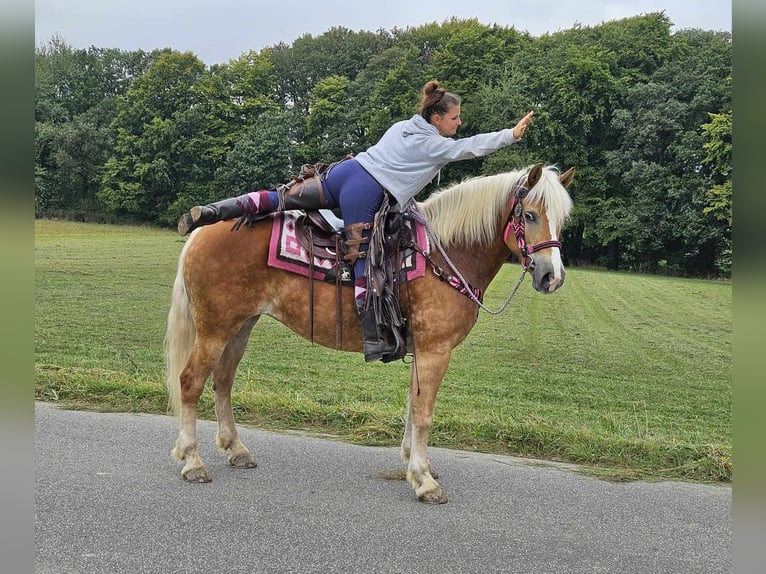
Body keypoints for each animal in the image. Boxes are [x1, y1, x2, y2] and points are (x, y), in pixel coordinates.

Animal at [168, 162, 576, 504]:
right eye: (530, 215)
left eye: (563, 219)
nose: (552, 277)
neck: (444, 254)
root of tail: (200, 234)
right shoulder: (436, 350)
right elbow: (424, 413)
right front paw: (425, 481)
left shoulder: (422, 350)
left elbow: (413, 405)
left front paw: (414, 464)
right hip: (214, 329)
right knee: (190, 382)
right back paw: (192, 461)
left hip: (239, 326)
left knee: (223, 380)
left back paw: (236, 449)